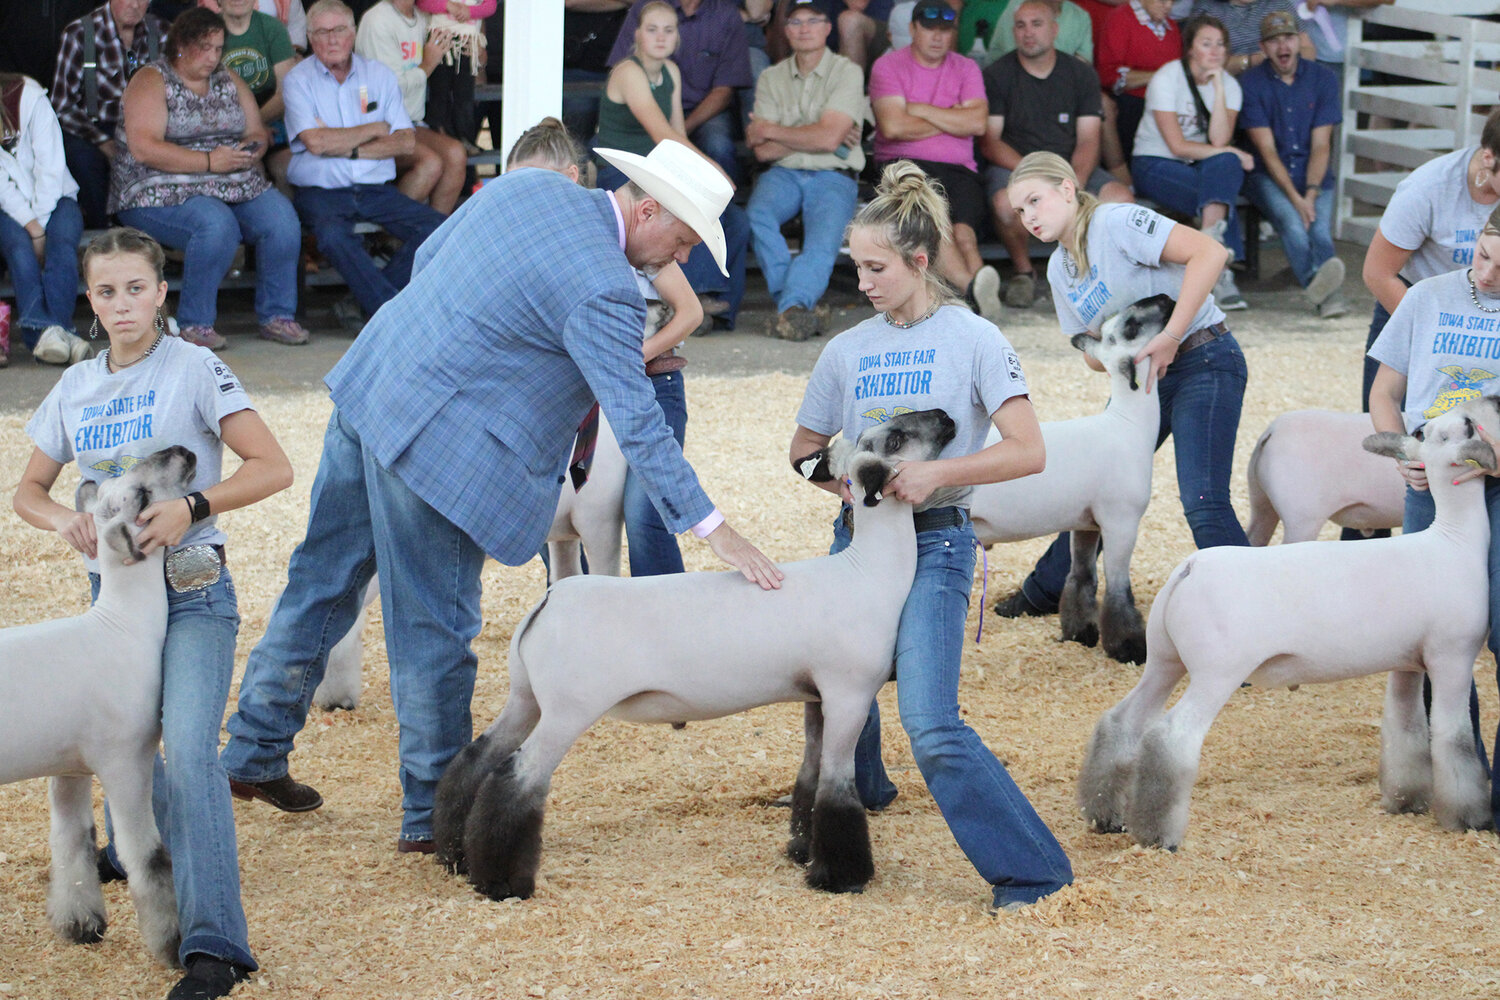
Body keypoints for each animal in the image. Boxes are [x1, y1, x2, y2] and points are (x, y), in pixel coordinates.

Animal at [0, 446, 193, 959]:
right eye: (141, 495)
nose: (183, 451)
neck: (122, 627)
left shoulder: (68, 766)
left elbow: (72, 842)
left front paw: (80, 924)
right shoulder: (127, 760)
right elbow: (148, 854)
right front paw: (171, 945)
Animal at [429, 407, 960, 899]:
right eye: (896, 437)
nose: (946, 417)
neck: (868, 571)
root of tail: (548, 600)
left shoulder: (816, 696)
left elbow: (809, 778)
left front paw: (801, 852)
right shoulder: (849, 694)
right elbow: (836, 790)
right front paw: (839, 877)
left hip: (526, 698)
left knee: (473, 761)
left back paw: (453, 855)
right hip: (567, 709)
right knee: (515, 778)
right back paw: (502, 881)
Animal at [966, 293, 1164, 659]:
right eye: (1131, 326)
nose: (1165, 297)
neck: (1128, 424)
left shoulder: (1085, 524)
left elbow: (1081, 579)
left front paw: (1079, 634)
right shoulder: (1121, 522)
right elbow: (1118, 593)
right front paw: (1129, 648)